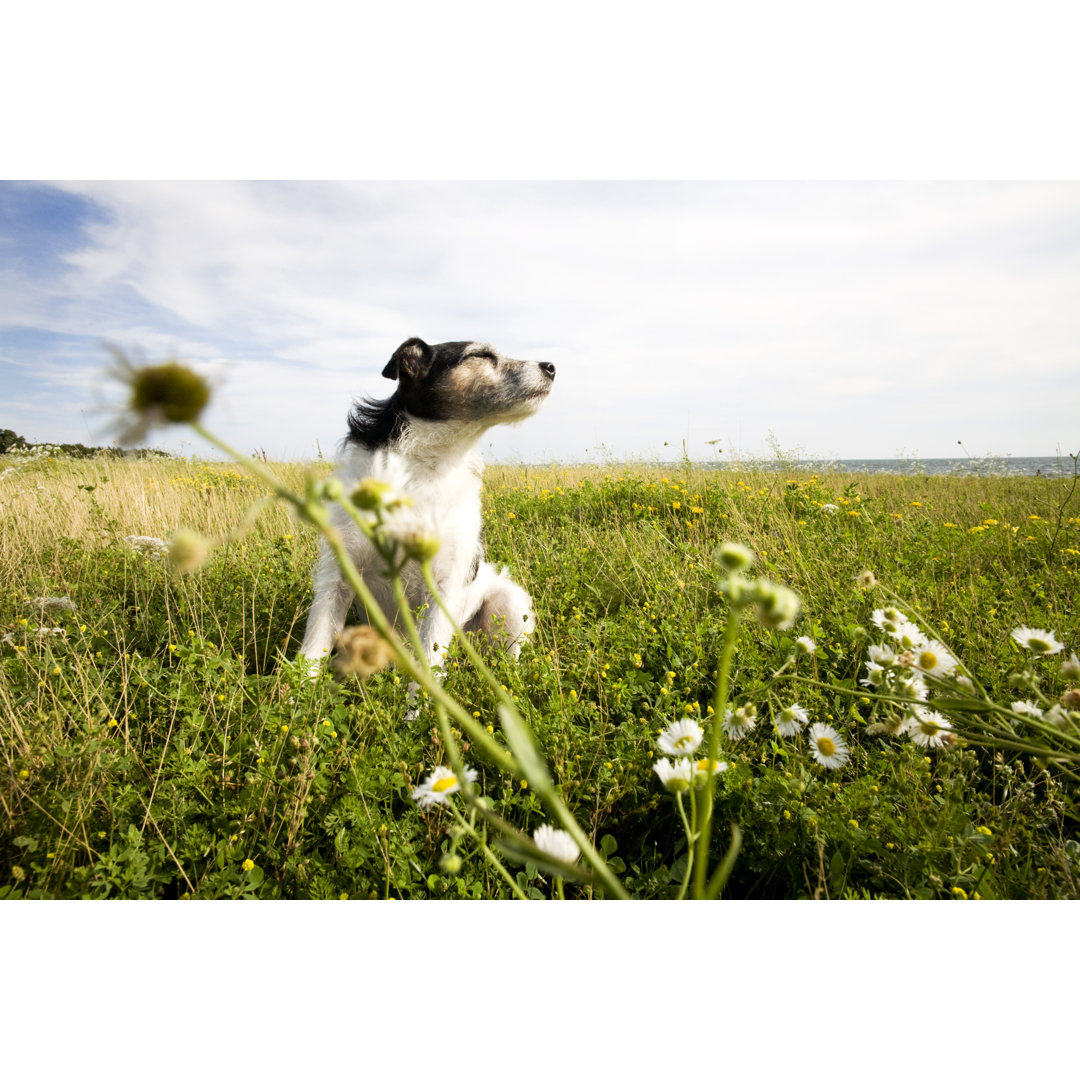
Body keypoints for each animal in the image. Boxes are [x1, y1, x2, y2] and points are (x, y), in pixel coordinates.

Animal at [300, 336, 557, 678]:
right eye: (480, 355)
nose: (551, 366)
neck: (425, 466)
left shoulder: (443, 588)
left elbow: (428, 667)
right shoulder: (336, 581)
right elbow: (311, 655)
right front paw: (293, 694)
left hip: (510, 604)